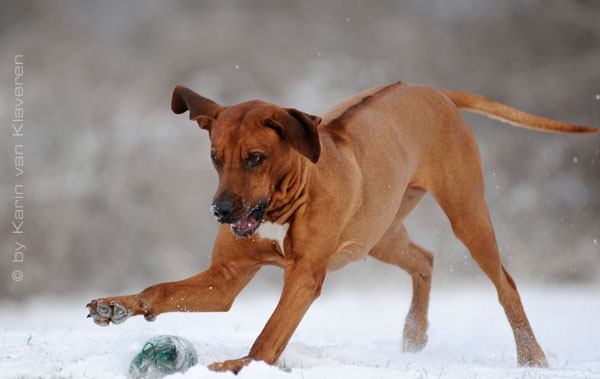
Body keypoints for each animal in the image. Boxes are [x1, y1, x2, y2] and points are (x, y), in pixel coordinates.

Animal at [85, 81, 596, 374]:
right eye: (215, 158)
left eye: (256, 158)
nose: (221, 211)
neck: (283, 204)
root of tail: (436, 91)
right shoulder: (223, 279)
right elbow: (164, 290)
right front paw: (119, 305)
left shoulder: (305, 276)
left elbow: (269, 335)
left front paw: (240, 365)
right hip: (378, 233)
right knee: (424, 259)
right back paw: (414, 335)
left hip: (468, 214)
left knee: (505, 283)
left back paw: (532, 358)